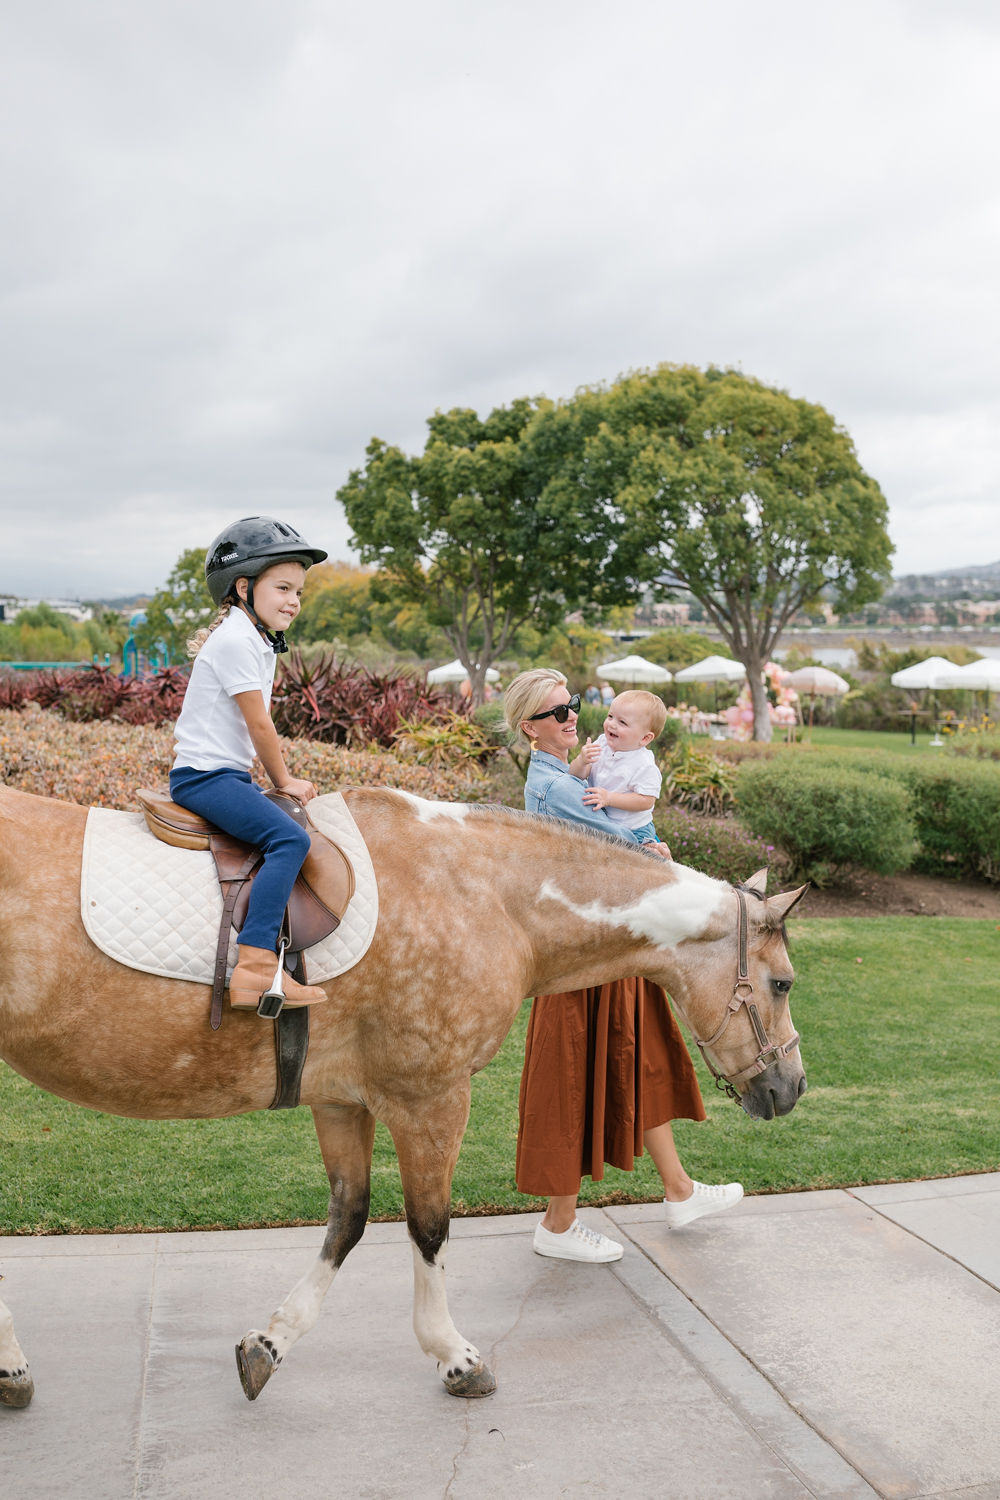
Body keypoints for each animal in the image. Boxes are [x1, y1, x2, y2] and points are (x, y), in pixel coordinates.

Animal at [0, 780, 809, 1410]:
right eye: (781, 983)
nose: (792, 1085)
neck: (484, 892)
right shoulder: (431, 1098)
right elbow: (427, 1226)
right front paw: (452, 1353)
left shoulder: (342, 1099)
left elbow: (348, 1219)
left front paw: (271, 1341)